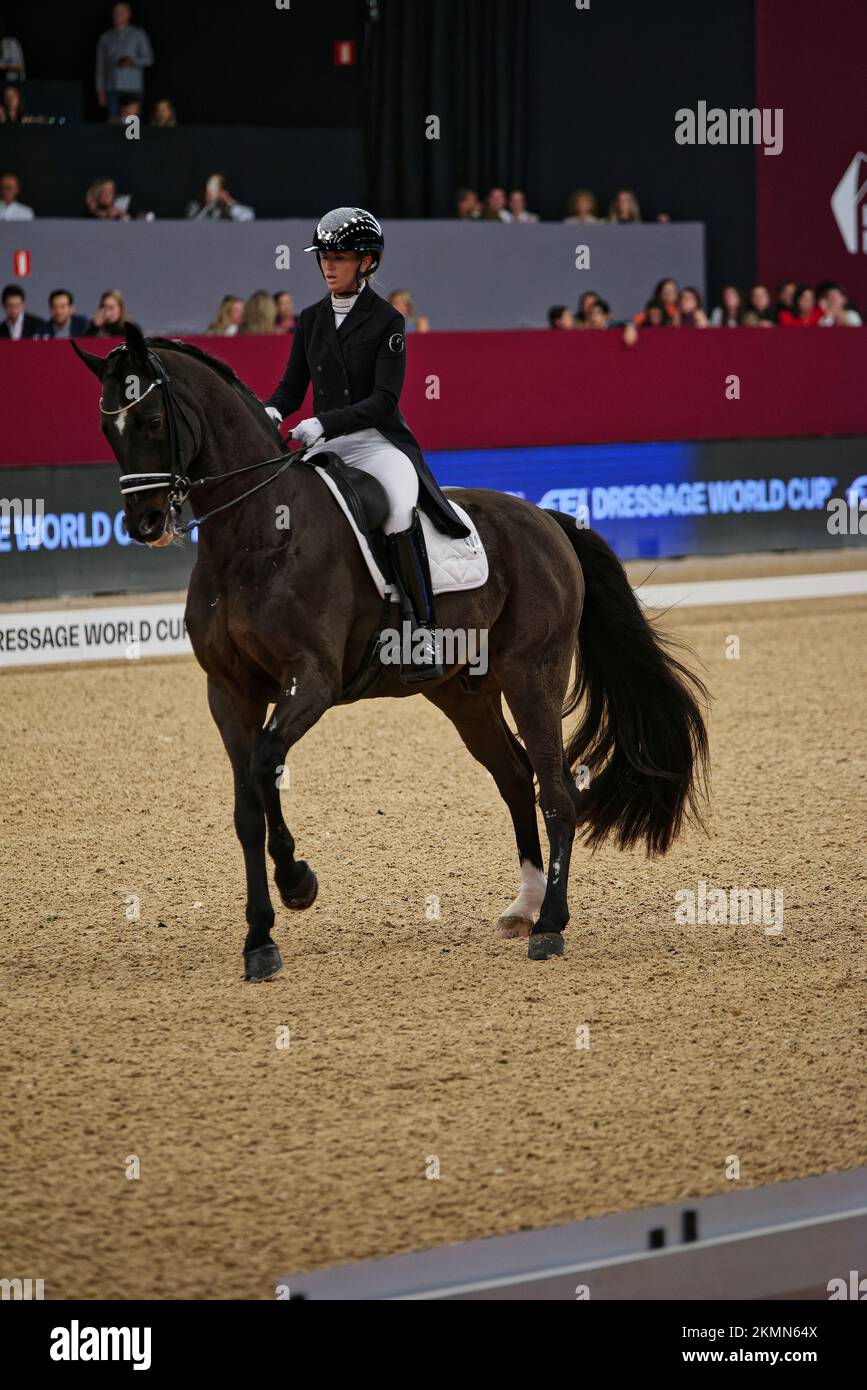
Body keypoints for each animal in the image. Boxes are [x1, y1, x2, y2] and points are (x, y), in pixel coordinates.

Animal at [72, 322, 711, 978]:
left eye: (151, 420)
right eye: (107, 428)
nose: (146, 524)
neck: (257, 533)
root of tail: (544, 518)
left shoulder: (312, 680)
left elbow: (267, 761)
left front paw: (298, 882)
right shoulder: (228, 693)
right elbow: (247, 807)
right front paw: (260, 941)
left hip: (533, 674)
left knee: (560, 791)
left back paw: (551, 926)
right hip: (463, 694)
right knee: (516, 776)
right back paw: (524, 907)